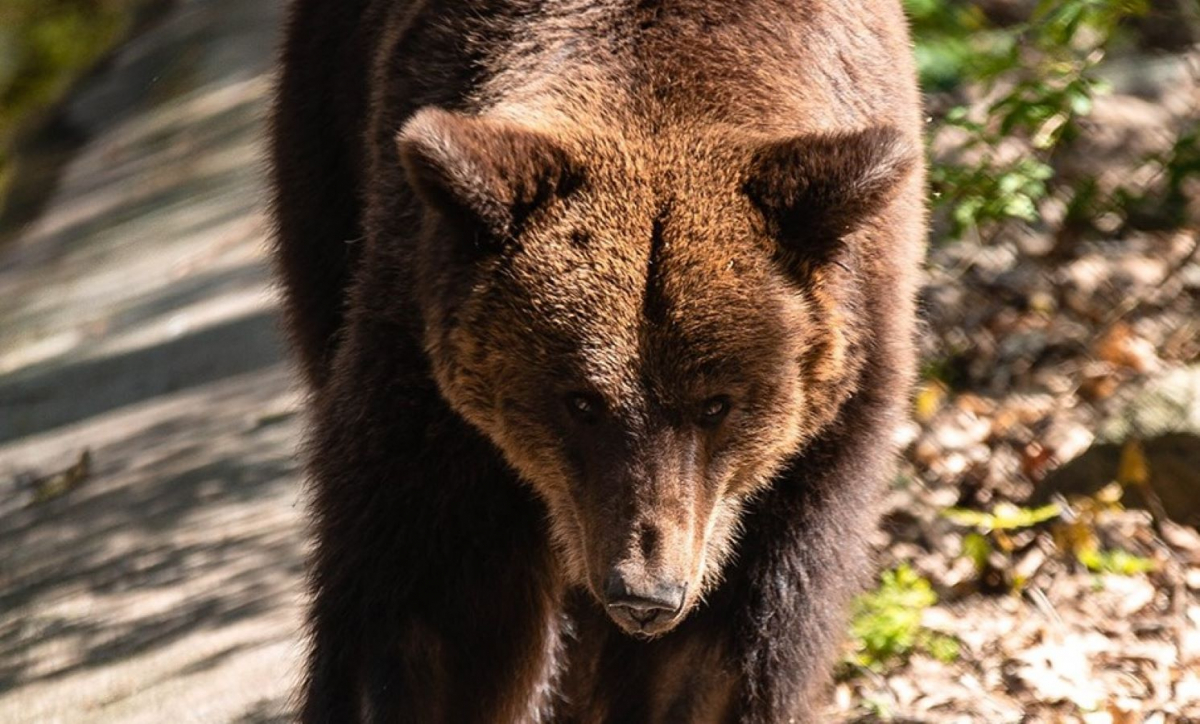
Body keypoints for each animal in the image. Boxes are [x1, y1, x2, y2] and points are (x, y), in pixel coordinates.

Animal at [272, 2, 921, 720]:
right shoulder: (429, 394)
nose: (643, 593)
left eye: (717, 403)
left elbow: (719, 656)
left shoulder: (814, 447)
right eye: (580, 399)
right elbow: (429, 618)